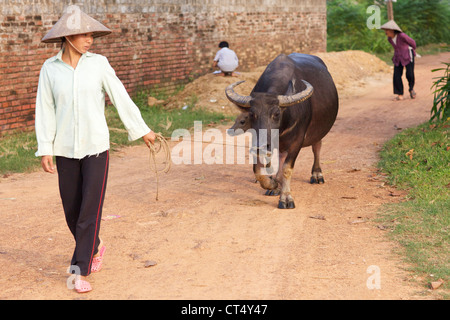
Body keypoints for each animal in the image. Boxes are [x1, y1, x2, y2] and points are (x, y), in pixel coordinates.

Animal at [225, 53, 338, 208]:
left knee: (317, 147)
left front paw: (286, 198)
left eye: (277, 113)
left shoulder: (297, 140)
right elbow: (257, 170)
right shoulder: (256, 139)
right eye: (252, 114)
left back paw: (316, 174)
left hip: (318, 131)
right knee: (281, 155)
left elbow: (287, 169)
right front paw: (272, 184)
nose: (262, 146)